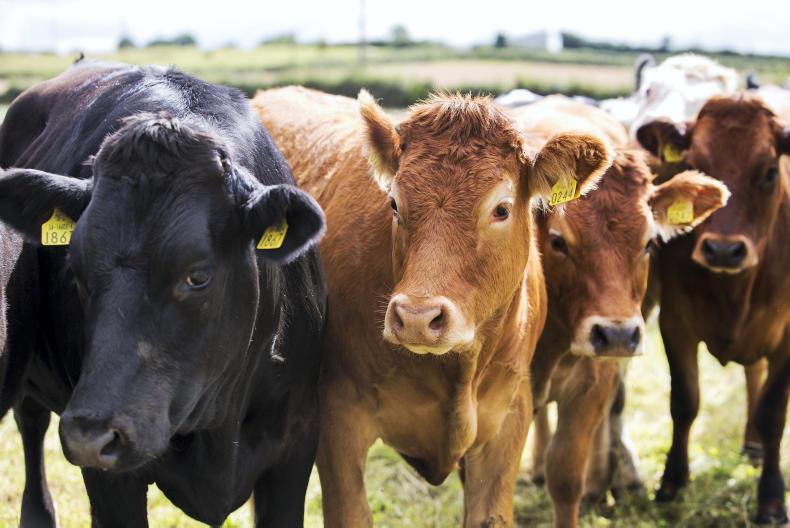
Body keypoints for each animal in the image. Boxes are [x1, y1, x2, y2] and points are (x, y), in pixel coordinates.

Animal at [0, 60, 327, 526]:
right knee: (31, 423)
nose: (89, 435)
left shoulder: (296, 443)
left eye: (197, 277)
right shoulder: (110, 482)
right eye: (75, 272)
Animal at [251, 85, 614, 527]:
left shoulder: (508, 419)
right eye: (393, 203)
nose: (417, 319)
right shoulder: (338, 419)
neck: (457, 369)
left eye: (502, 208)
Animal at [636, 94, 790, 523]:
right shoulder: (675, 321)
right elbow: (684, 401)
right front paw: (672, 481)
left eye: (769, 172)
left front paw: (772, 499)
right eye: (697, 166)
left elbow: (773, 412)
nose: (723, 249)